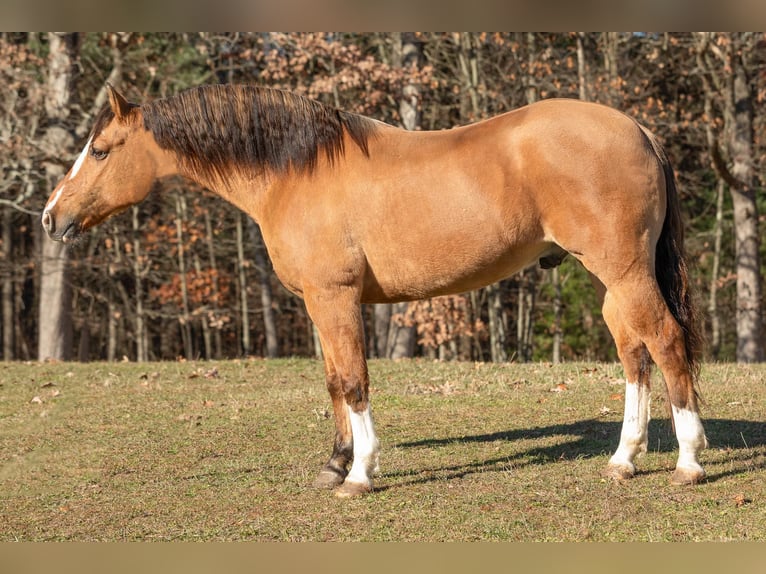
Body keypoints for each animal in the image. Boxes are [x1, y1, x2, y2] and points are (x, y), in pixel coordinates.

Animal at [45, 83, 712, 498]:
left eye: (99, 150)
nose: (52, 217)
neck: (296, 170)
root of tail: (638, 129)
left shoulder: (335, 297)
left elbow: (354, 380)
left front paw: (360, 473)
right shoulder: (319, 302)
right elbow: (333, 381)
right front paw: (334, 464)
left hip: (624, 272)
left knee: (666, 343)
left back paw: (687, 462)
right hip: (613, 281)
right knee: (634, 355)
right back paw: (624, 460)